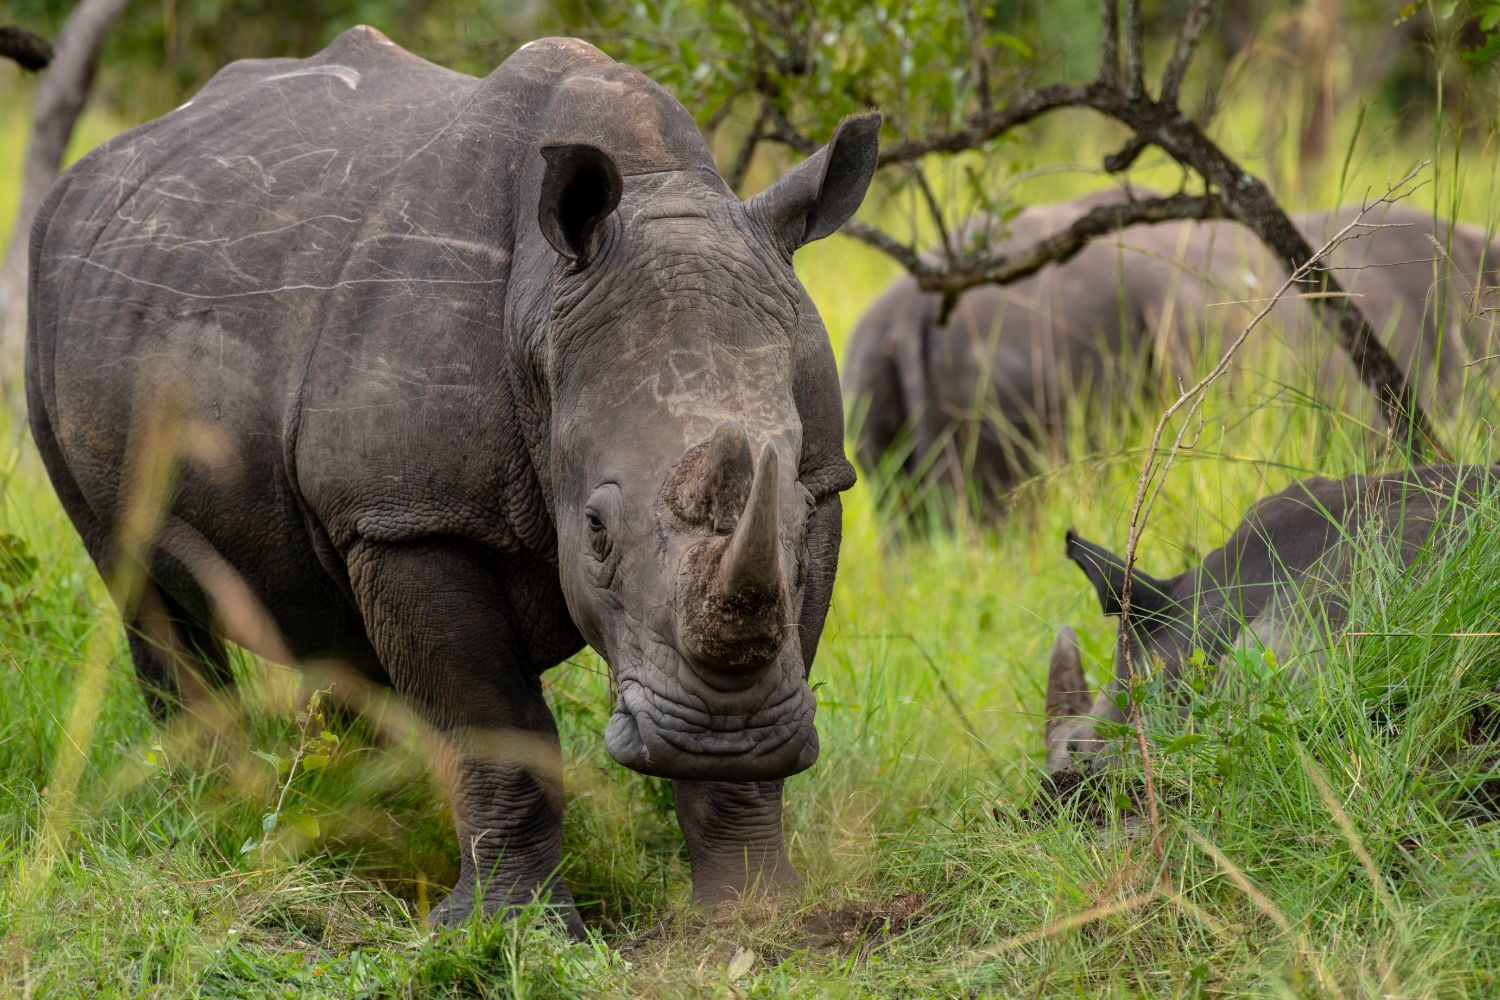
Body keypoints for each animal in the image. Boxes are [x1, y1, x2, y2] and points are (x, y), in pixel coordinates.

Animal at [25, 28, 880, 934]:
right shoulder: (412, 517)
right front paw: (511, 930)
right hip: (54, 298)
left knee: (334, 627)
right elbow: (497, 723)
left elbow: (779, 646)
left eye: (794, 514)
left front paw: (753, 917)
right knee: (138, 579)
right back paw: (214, 808)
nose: (721, 733)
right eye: (596, 533)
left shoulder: (824, 478)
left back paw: (342, 803)